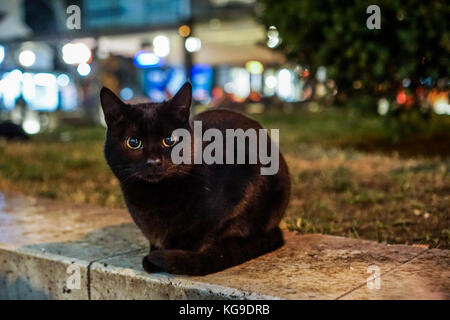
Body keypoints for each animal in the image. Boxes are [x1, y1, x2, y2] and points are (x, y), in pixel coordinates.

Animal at [100, 83, 290, 276]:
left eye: (169, 140)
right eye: (133, 142)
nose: (154, 162)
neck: (156, 197)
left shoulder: (246, 183)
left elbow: (211, 233)